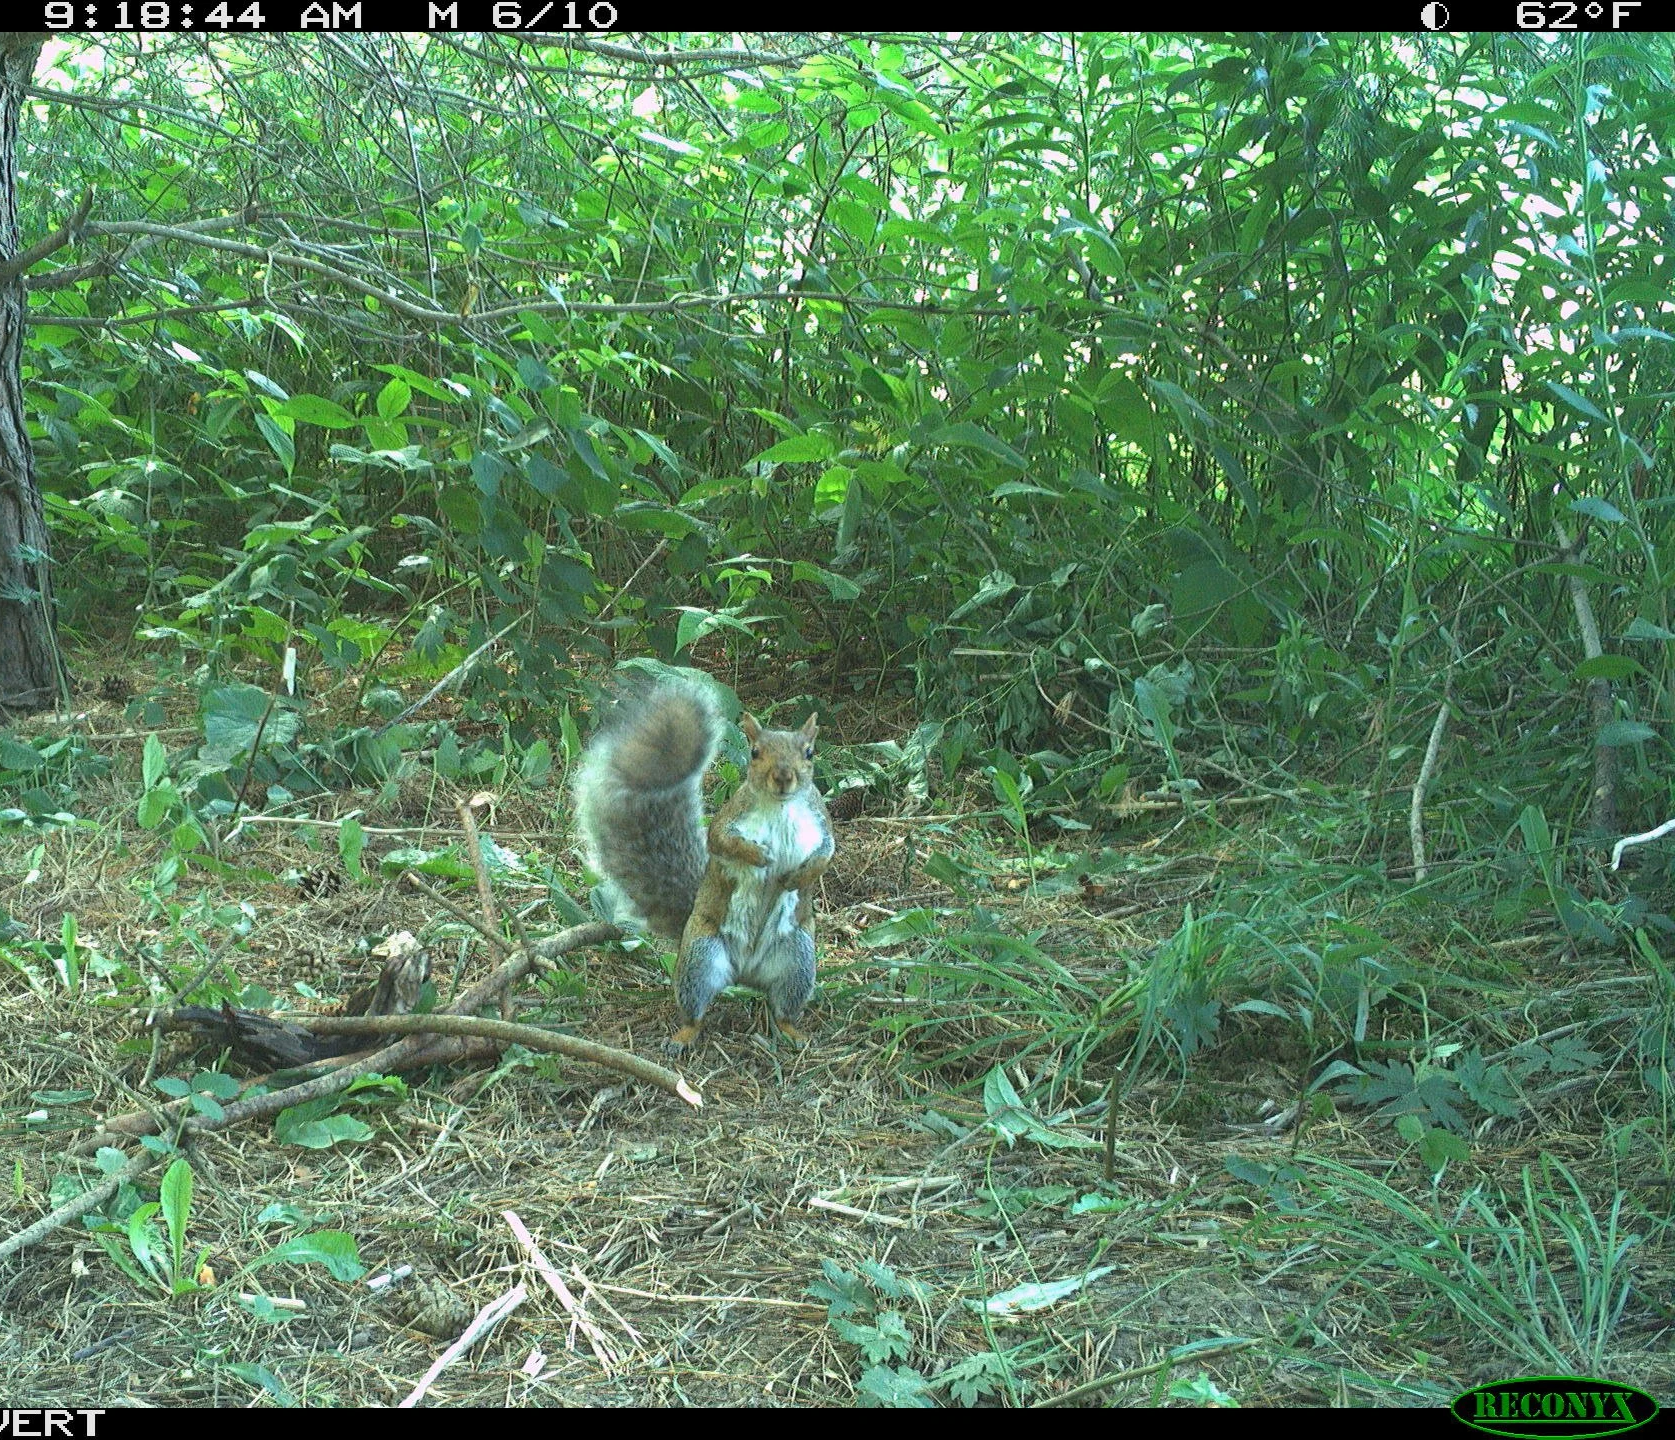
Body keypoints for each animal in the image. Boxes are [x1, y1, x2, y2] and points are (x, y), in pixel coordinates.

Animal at [574, 677, 835, 1052]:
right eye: (755, 753)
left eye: (809, 753)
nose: (784, 776)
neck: (780, 807)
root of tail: (745, 974)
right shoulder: (729, 819)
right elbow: (723, 843)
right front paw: (759, 857)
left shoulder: (821, 822)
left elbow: (827, 854)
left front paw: (799, 876)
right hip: (700, 958)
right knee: (694, 1010)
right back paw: (682, 1037)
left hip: (797, 962)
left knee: (784, 1008)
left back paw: (794, 1033)